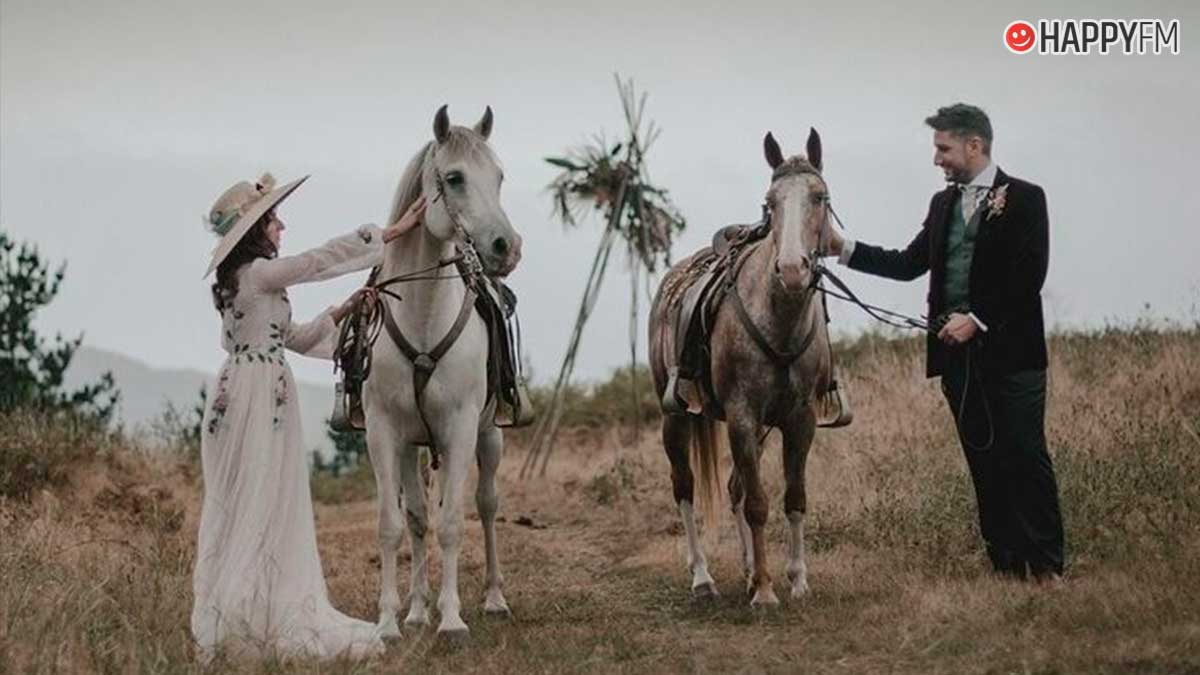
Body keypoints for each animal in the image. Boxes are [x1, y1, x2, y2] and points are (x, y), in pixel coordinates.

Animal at [367, 105, 523, 634]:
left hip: (489, 436)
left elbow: (454, 522)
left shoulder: (459, 427)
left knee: (487, 505)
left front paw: (452, 619)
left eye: (499, 176)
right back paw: (418, 609)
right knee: (417, 516)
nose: (506, 246)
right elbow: (394, 525)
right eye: (454, 178)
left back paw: (495, 597)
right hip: (413, 446)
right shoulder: (384, 432)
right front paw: (390, 621)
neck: (421, 316)